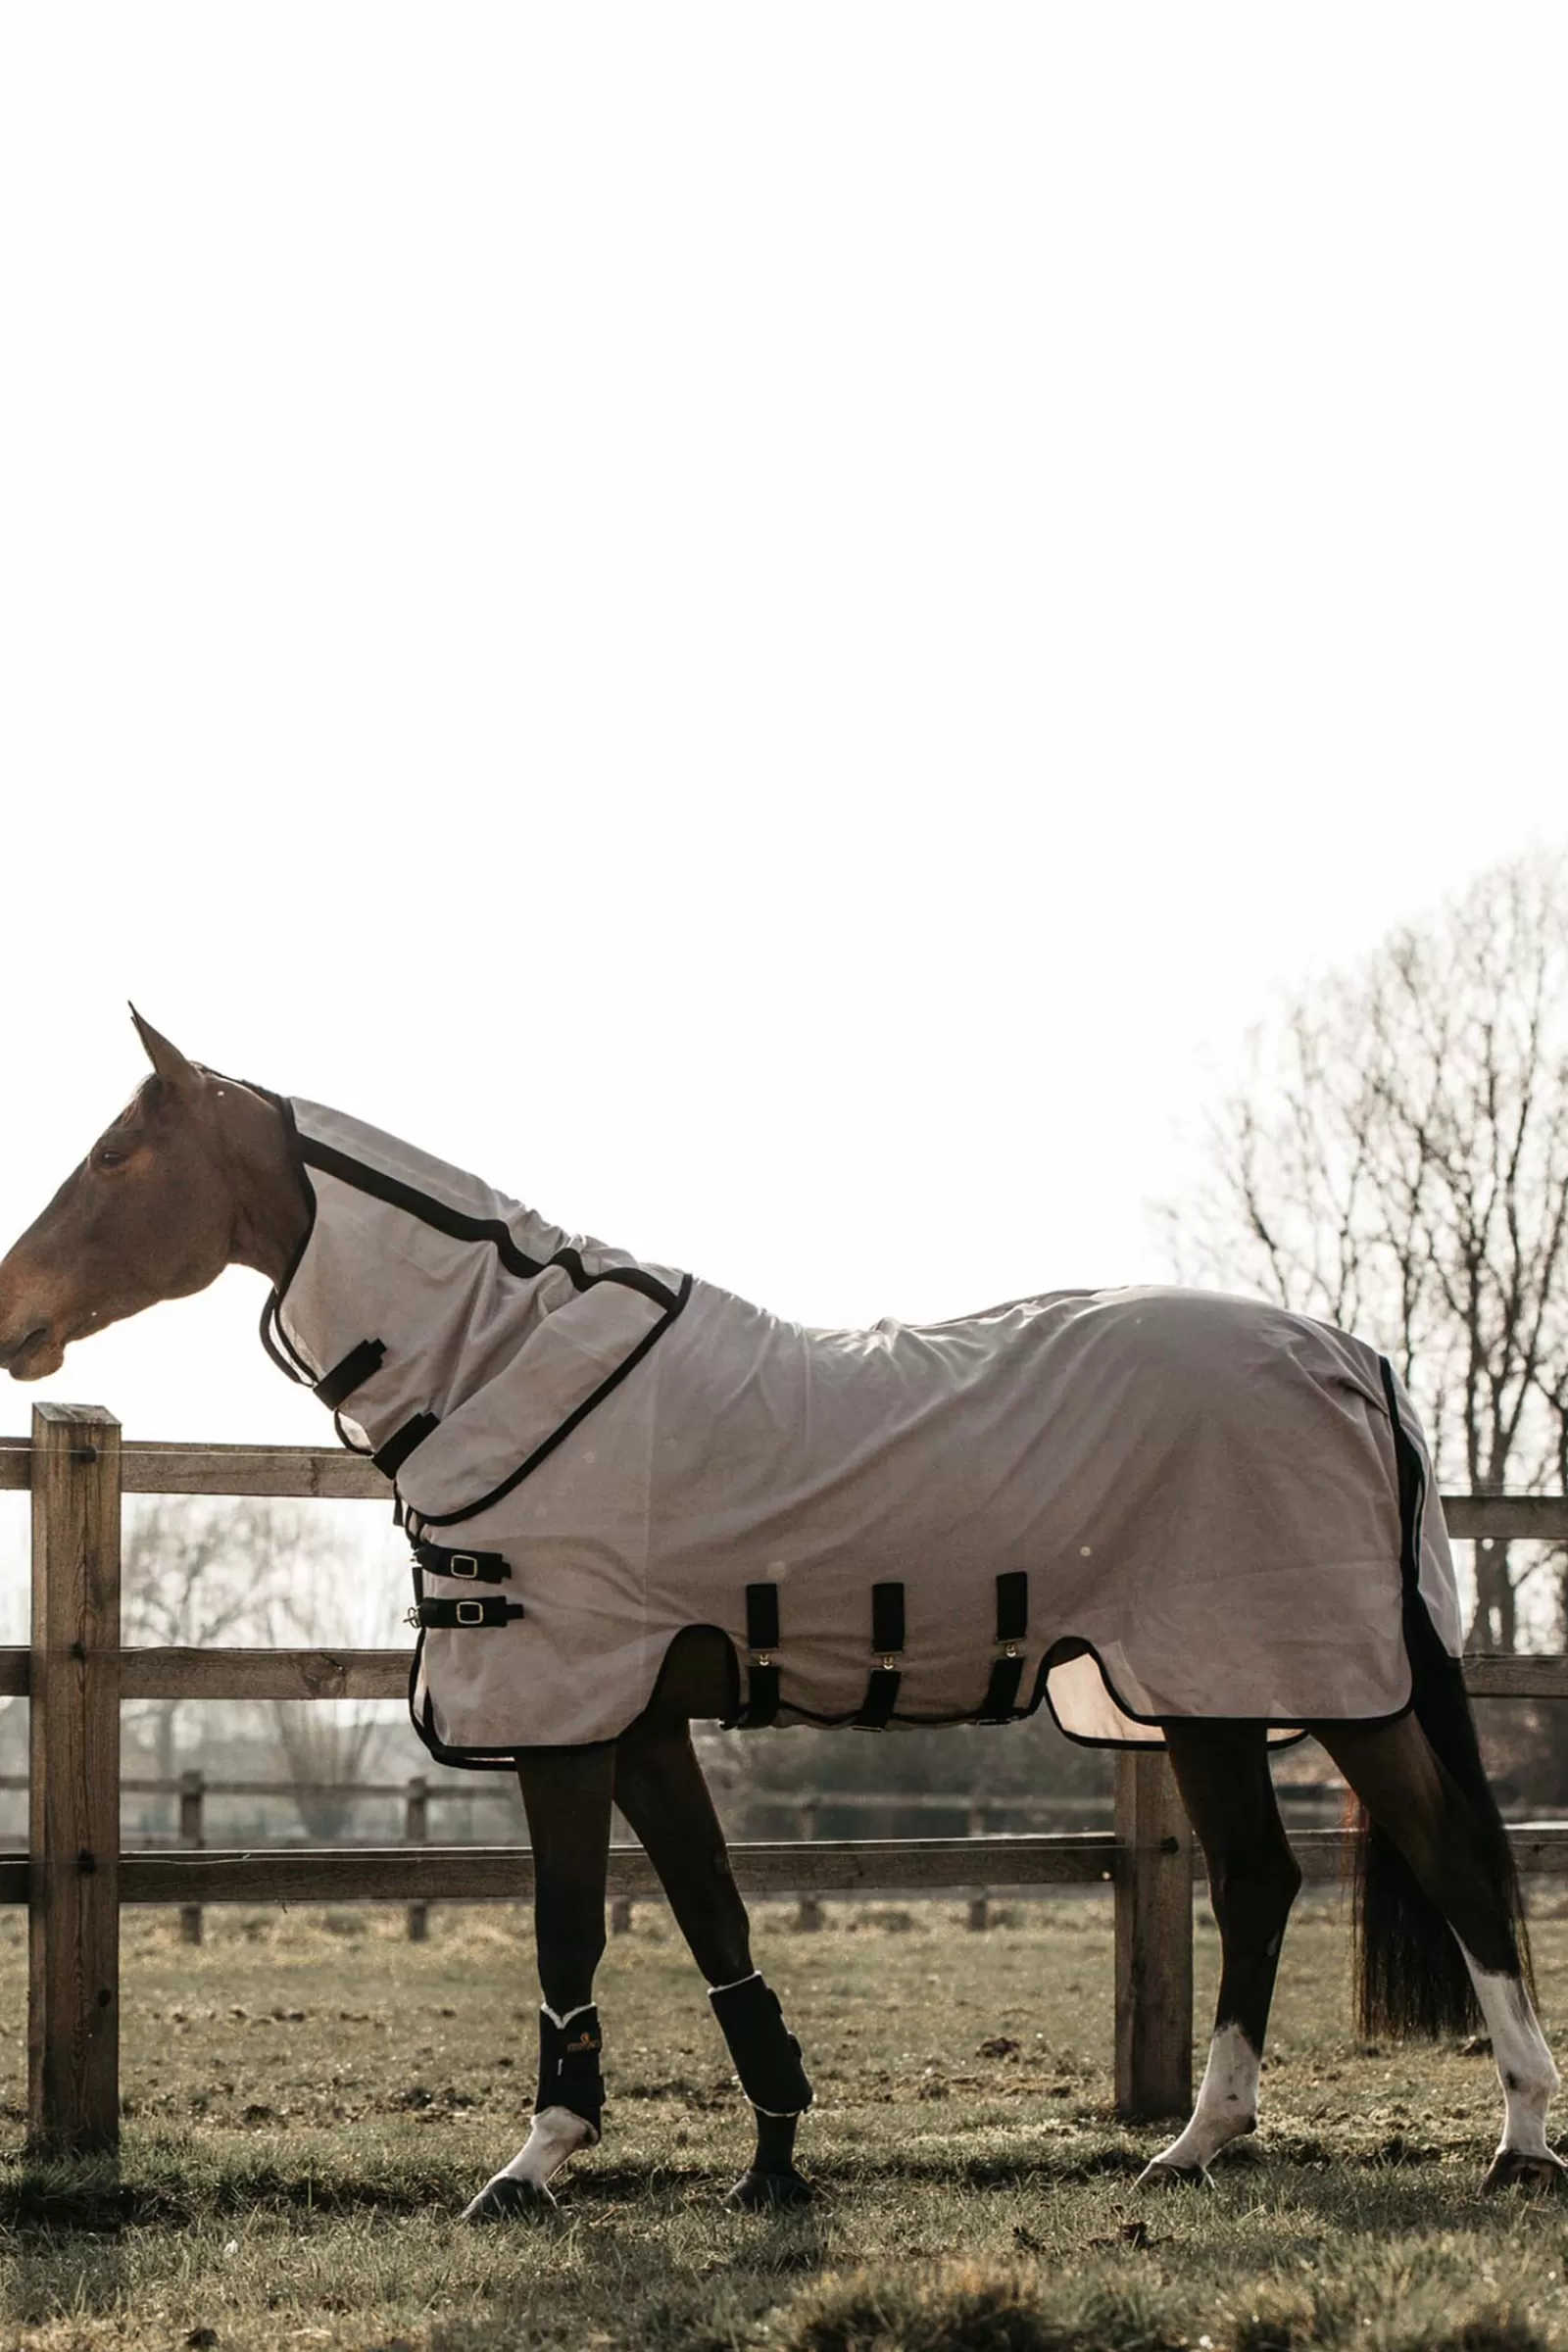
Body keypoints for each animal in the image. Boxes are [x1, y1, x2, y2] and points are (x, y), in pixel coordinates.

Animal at [0, 1015, 1560, 2220]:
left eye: (120, 1154)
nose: (13, 1315)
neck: (506, 1360)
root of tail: (1351, 1355)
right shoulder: (640, 1723)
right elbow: (711, 1913)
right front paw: (773, 2156)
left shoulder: (566, 1718)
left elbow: (571, 1926)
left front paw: (535, 2162)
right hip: (1208, 1697)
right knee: (1266, 1880)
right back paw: (1198, 2145)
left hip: (1302, 1680)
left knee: (1451, 1868)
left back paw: (1514, 2143)